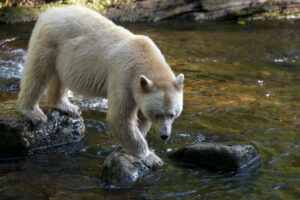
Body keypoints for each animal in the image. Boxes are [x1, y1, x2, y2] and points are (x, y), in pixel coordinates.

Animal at [17, 5, 184, 169]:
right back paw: (34, 113)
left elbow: (140, 118)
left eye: (172, 114)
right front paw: (151, 158)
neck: (144, 56)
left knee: (60, 79)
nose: (164, 135)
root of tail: (50, 11)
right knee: (37, 74)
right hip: (50, 41)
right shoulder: (123, 77)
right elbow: (119, 117)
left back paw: (67, 106)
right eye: (157, 114)